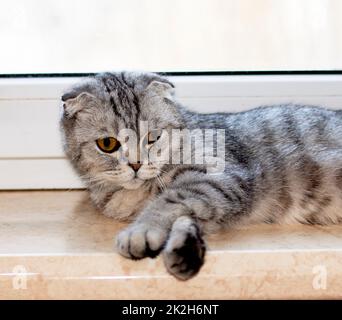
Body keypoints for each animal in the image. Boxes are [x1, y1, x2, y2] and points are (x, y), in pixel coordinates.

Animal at [60, 72, 342, 280]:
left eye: (153, 137)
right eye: (107, 144)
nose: (137, 164)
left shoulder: (223, 178)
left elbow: (169, 202)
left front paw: (140, 232)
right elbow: (186, 215)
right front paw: (185, 251)